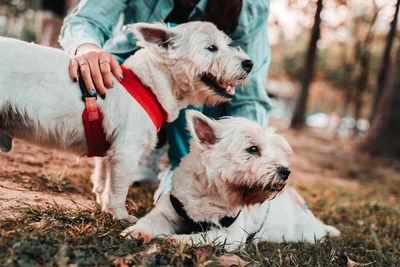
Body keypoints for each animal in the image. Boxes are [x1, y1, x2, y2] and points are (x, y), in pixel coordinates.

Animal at [0, 21, 252, 223]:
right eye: (211, 48)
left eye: (227, 43)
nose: (249, 63)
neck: (149, 84)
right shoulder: (126, 152)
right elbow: (118, 189)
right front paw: (120, 216)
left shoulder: (108, 152)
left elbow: (102, 182)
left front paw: (104, 209)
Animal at [122, 111, 340, 251]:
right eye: (253, 149)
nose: (286, 171)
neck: (211, 193)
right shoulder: (167, 213)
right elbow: (149, 221)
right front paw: (135, 231)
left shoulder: (232, 234)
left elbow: (206, 236)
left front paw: (180, 240)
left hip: (307, 231)